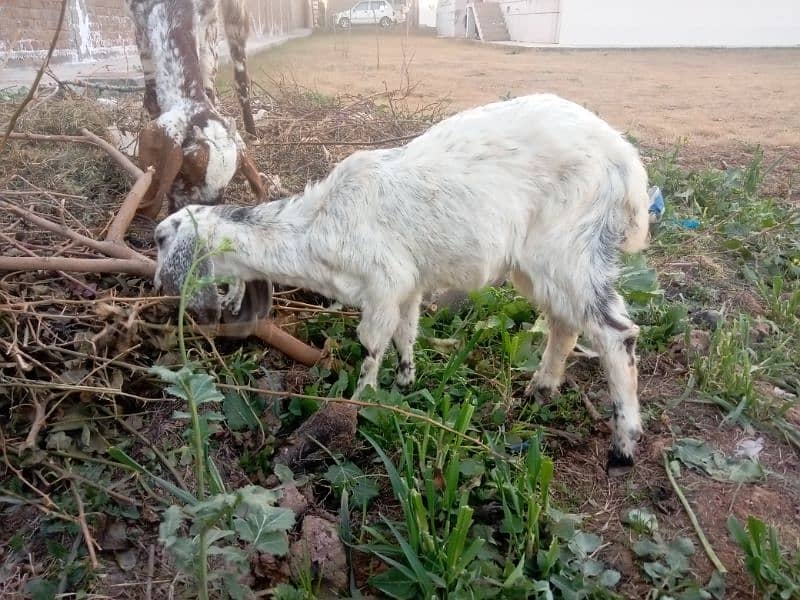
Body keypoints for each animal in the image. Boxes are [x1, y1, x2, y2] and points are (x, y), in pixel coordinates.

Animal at [123, 0, 264, 220]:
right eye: (184, 170)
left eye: (225, 186)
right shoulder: (139, 23)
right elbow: (151, 94)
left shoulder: (208, 19)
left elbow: (209, 83)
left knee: (241, 74)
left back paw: (252, 133)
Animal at [153, 94, 652, 476]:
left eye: (160, 239)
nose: (158, 284)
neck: (317, 226)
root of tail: (627, 163)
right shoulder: (407, 285)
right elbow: (406, 334)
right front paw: (407, 380)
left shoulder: (383, 283)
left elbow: (372, 344)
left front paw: (358, 402)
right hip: (540, 264)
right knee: (565, 323)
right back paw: (540, 391)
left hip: (570, 247)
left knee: (616, 334)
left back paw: (623, 447)